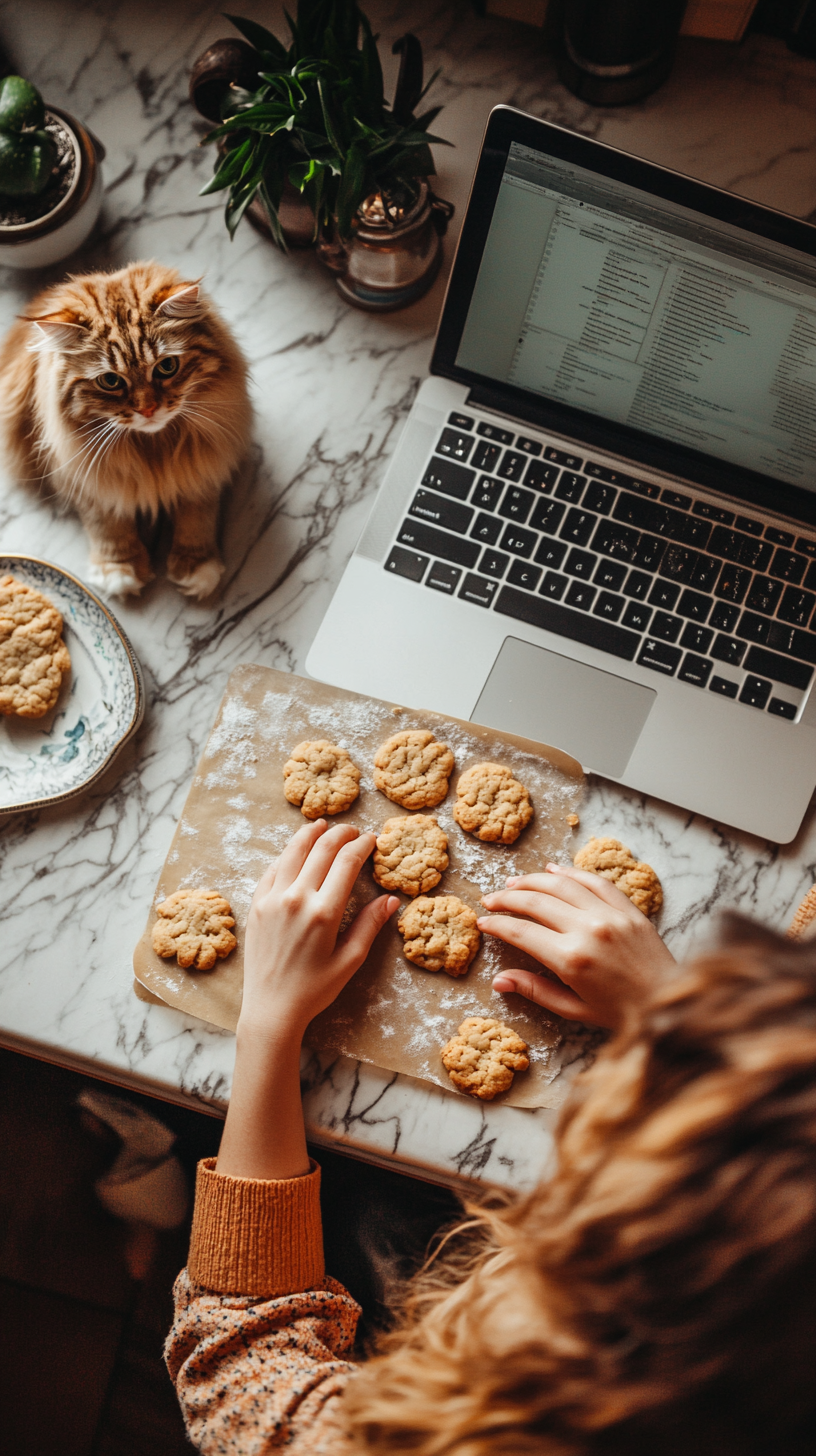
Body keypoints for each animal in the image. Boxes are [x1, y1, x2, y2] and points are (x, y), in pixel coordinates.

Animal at [0, 262, 252, 596]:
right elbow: (107, 525)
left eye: (167, 367)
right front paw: (118, 571)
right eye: (110, 381)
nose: (148, 410)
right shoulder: (84, 477)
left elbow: (197, 516)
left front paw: (197, 567)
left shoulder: (205, 465)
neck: (154, 447)